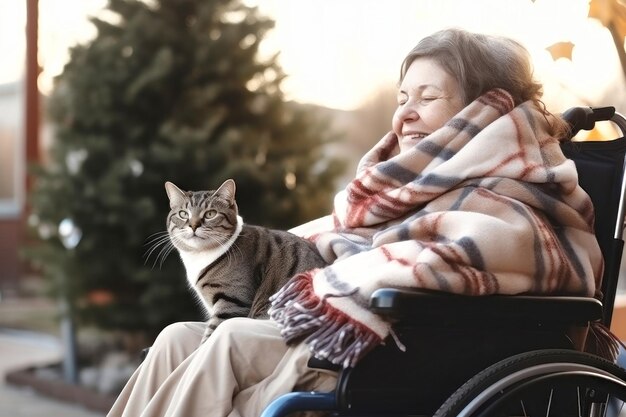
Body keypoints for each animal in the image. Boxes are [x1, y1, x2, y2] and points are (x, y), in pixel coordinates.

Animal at [163, 178, 326, 342]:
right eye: (183, 214)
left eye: (210, 214)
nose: (193, 225)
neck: (199, 254)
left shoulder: (233, 301)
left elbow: (210, 335)